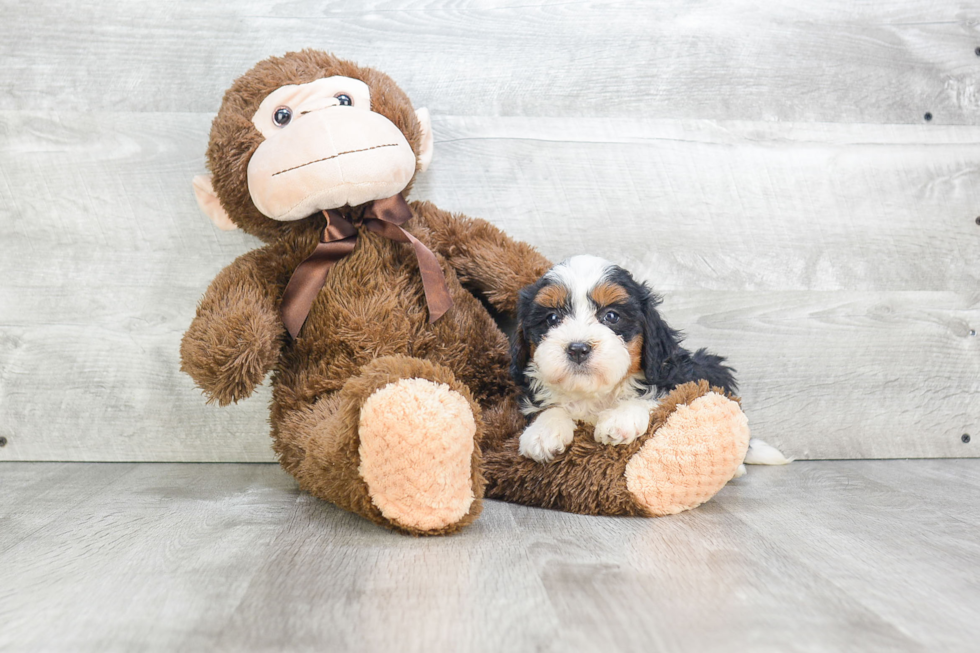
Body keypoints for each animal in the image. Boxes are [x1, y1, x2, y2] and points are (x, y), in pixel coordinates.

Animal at [512, 255, 736, 464]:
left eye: (611, 316)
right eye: (552, 318)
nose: (578, 349)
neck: (593, 395)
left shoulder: (677, 380)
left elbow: (656, 397)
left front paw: (619, 419)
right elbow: (549, 406)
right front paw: (543, 431)